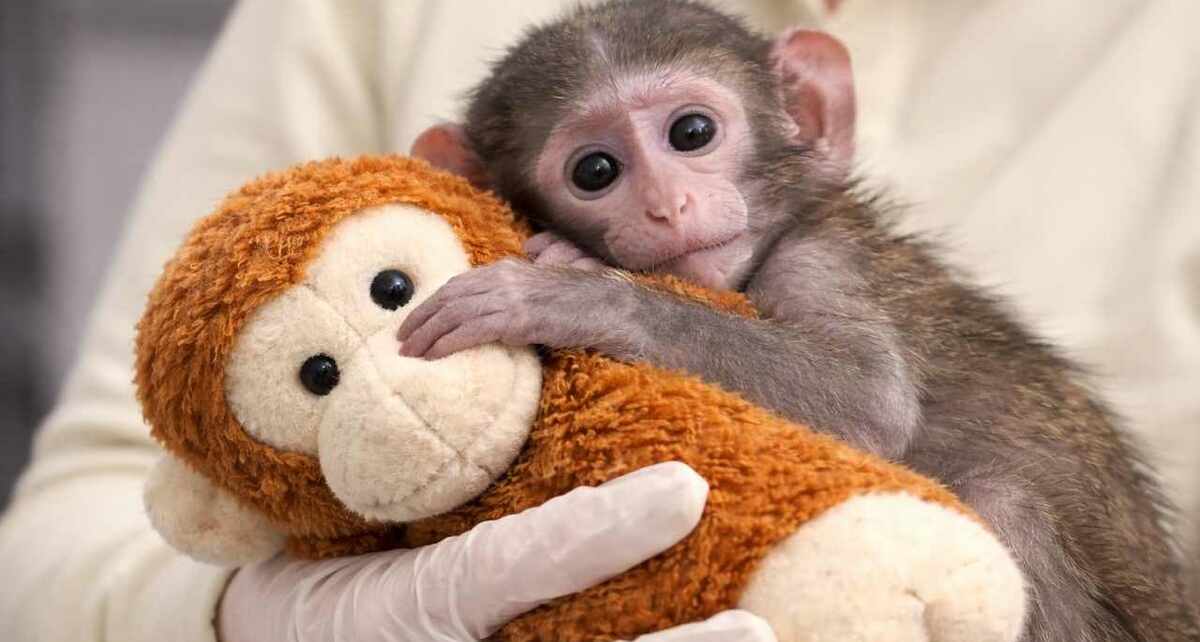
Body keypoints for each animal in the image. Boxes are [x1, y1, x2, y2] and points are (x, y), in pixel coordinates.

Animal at [397, 1, 1200, 640]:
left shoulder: (818, 255)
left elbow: (867, 400)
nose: (668, 206)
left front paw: (565, 289)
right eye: (595, 171)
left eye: (692, 132)